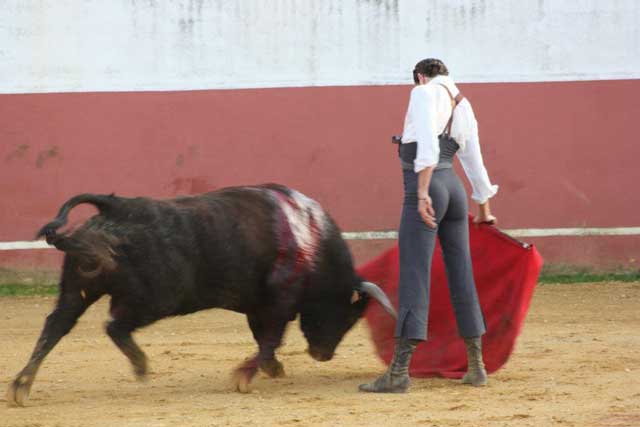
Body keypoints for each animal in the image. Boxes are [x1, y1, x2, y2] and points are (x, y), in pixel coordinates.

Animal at [6, 183, 396, 404]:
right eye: (347, 316)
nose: (323, 355)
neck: (310, 235)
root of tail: (118, 207)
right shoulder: (278, 302)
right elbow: (271, 338)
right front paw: (245, 377)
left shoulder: (259, 305)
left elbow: (264, 339)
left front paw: (270, 368)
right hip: (155, 297)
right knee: (114, 326)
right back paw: (141, 365)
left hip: (78, 289)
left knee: (56, 326)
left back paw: (21, 385)